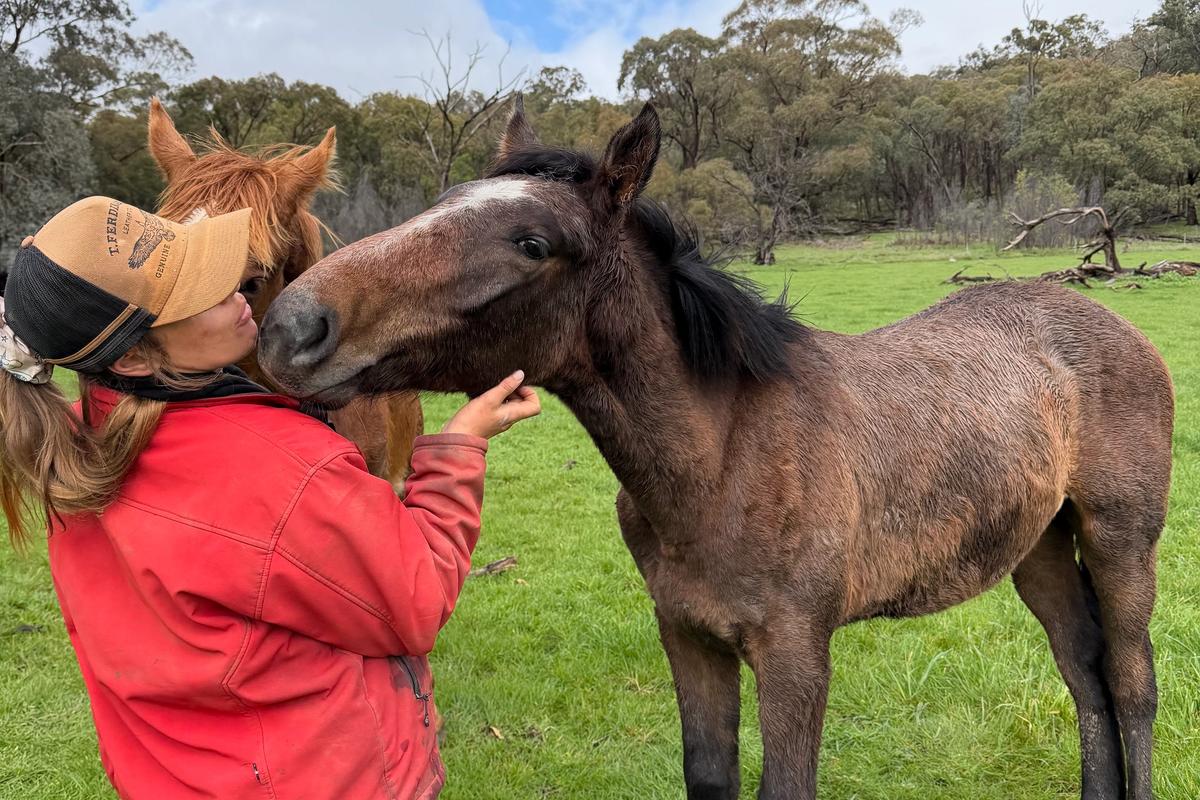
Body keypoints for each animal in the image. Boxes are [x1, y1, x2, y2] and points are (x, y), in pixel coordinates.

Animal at [256, 101, 1174, 800]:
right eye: (442, 200)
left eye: (532, 243)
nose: (294, 327)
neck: (720, 459)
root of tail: (1113, 324)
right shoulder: (689, 637)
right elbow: (710, 776)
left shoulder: (796, 654)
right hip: (1039, 546)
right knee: (1082, 672)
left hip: (1120, 538)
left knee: (1131, 683)